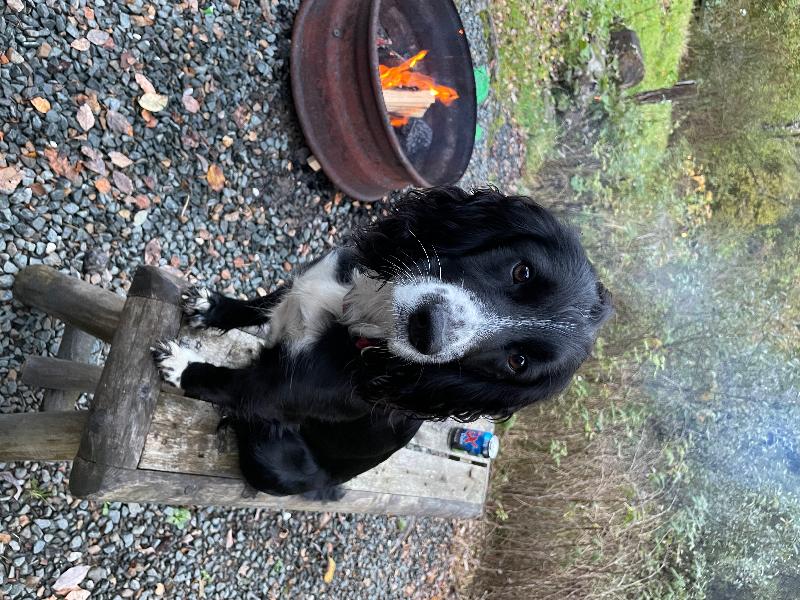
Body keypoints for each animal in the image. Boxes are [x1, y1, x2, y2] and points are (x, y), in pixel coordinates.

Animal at [152, 186, 612, 496]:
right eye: (522, 272)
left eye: (516, 362)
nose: (428, 328)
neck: (360, 318)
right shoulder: (304, 285)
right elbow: (259, 305)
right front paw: (212, 307)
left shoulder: (273, 392)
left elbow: (223, 382)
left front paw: (180, 366)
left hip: (274, 461)